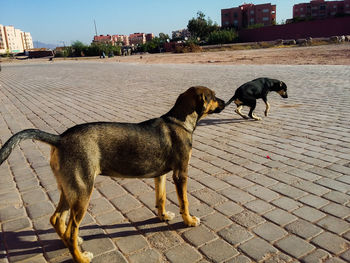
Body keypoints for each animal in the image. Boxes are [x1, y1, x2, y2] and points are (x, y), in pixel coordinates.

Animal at [0, 86, 224, 262]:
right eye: (213, 96)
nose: (224, 101)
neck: (178, 120)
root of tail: (60, 138)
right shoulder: (181, 174)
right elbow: (184, 201)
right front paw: (189, 221)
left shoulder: (160, 175)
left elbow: (160, 198)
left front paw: (162, 216)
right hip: (82, 192)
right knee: (71, 227)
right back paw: (80, 257)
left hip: (68, 189)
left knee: (57, 219)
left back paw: (70, 242)